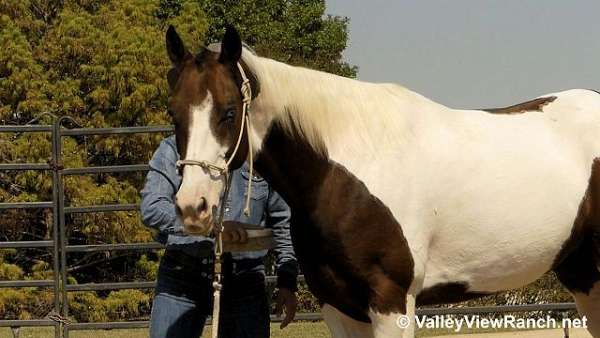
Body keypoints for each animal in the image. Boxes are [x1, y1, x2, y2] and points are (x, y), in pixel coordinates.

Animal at [166, 24, 600, 338]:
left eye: (228, 112)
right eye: (173, 112)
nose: (193, 207)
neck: (345, 170)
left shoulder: (391, 300)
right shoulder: (338, 306)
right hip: (582, 274)